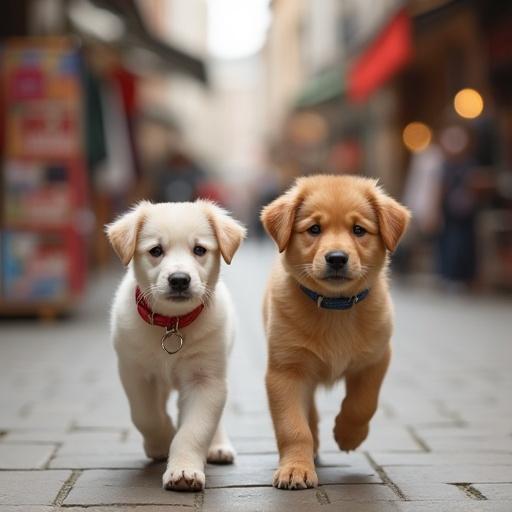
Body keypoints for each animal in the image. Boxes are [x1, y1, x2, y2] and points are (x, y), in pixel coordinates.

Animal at [106, 198, 246, 490]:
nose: (179, 279)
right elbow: (145, 416)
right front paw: (162, 440)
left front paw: (184, 470)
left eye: (199, 249)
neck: (172, 324)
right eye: (156, 250)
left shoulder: (206, 380)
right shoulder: (136, 374)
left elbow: (194, 429)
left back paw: (217, 446)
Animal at [262, 175, 410, 488]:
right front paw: (296, 468)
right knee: (309, 413)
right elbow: (293, 426)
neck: (335, 308)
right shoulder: (285, 371)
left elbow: (363, 403)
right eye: (314, 229)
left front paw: (348, 434)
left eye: (359, 230)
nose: (337, 258)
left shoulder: (376, 359)